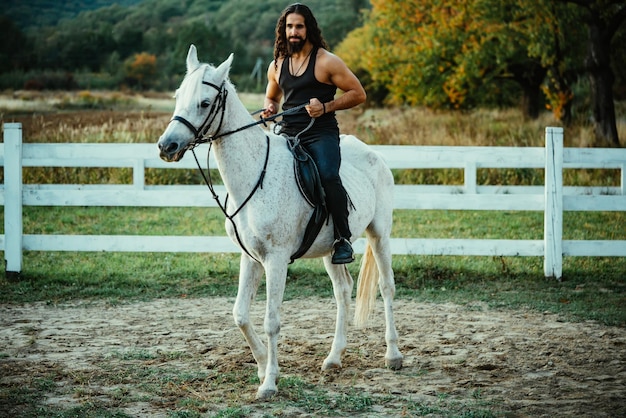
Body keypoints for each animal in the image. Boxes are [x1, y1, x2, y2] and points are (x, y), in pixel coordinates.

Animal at [156, 45, 400, 398]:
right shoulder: (250, 257)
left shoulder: (276, 259)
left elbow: (271, 320)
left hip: (380, 234)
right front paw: (261, 366)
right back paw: (334, 358)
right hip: (332, 249)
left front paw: (269, 382)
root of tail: (374, 154)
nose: (167, 146)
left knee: (386, 287)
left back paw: (393, 355)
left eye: (204, 102)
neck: (254, 176)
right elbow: (240, 314)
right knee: (343, 291)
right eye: (178, 96)